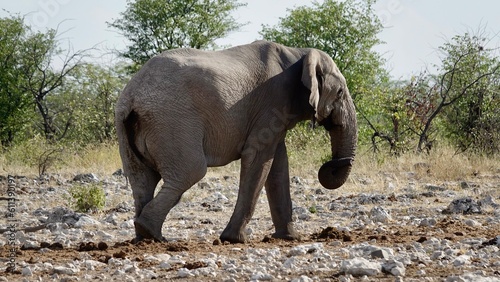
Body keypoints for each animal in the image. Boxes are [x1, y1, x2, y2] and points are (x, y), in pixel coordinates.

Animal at [115, 40, 358, 243]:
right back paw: (152, 234)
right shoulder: (272, 101)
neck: (298, 53)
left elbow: (278, 165)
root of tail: (132, 95)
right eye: (339, 92)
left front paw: (290, 238)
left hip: (131, 128)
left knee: (142, 179)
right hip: (172, 121)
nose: (333, 165)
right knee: (190, 172)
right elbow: (258, 157)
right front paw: (235, 239)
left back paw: (144, 237)